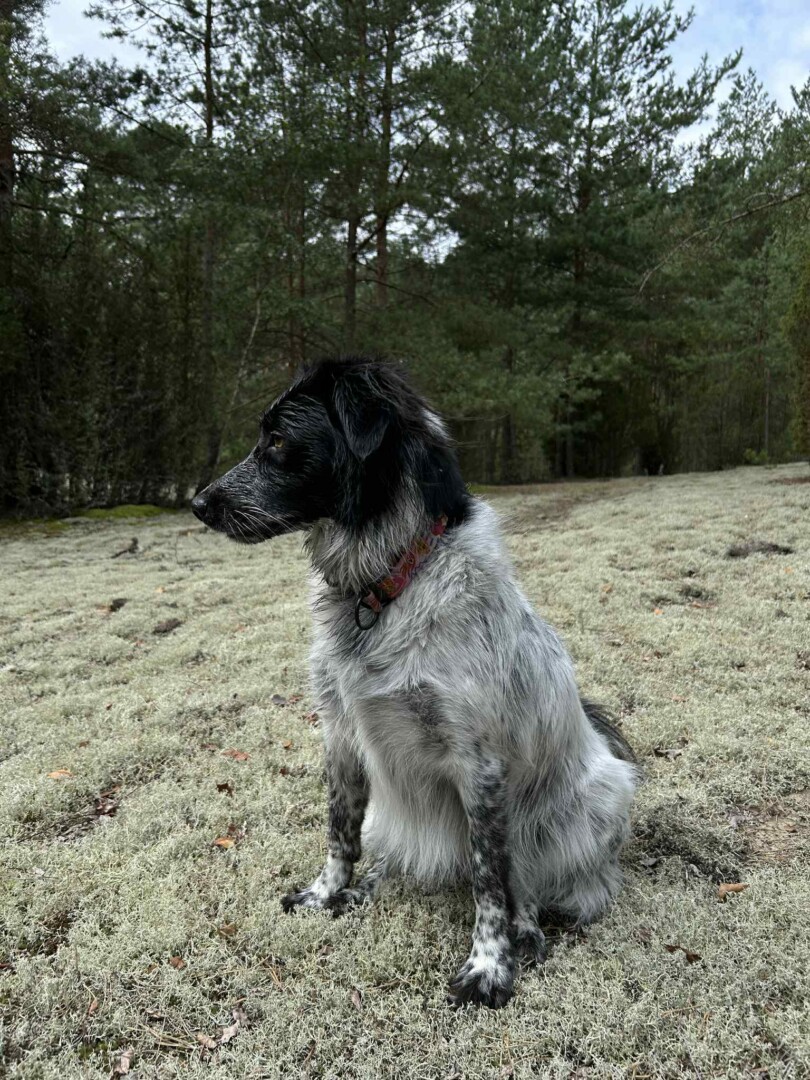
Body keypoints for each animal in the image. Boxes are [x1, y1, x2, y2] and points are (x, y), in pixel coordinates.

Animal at [191, 357, 638, 1009]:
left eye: (277, 441)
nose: (197, 503)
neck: (386, 584)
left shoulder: (481, 765)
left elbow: (491, 877)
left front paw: (489, 965)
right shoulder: (342, 735)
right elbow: (340, 831)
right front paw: (327, 894)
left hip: (597, 797)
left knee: (541, 877)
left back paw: (529, 928)